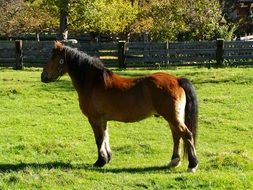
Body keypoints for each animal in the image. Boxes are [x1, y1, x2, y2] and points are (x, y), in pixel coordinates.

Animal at [41, 41, 200, 172]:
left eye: (53, 58)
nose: (43, 76)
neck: (94, 83)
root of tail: (177, 80)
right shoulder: (103, 120)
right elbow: (105, 137)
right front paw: (107, 158)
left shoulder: (94, 119)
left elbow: (99, 139)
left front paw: (100, 161)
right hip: (173, 118)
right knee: (177, 136)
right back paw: (174, 161)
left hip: (173, 117)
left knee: (186, 135)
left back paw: (192, 165)